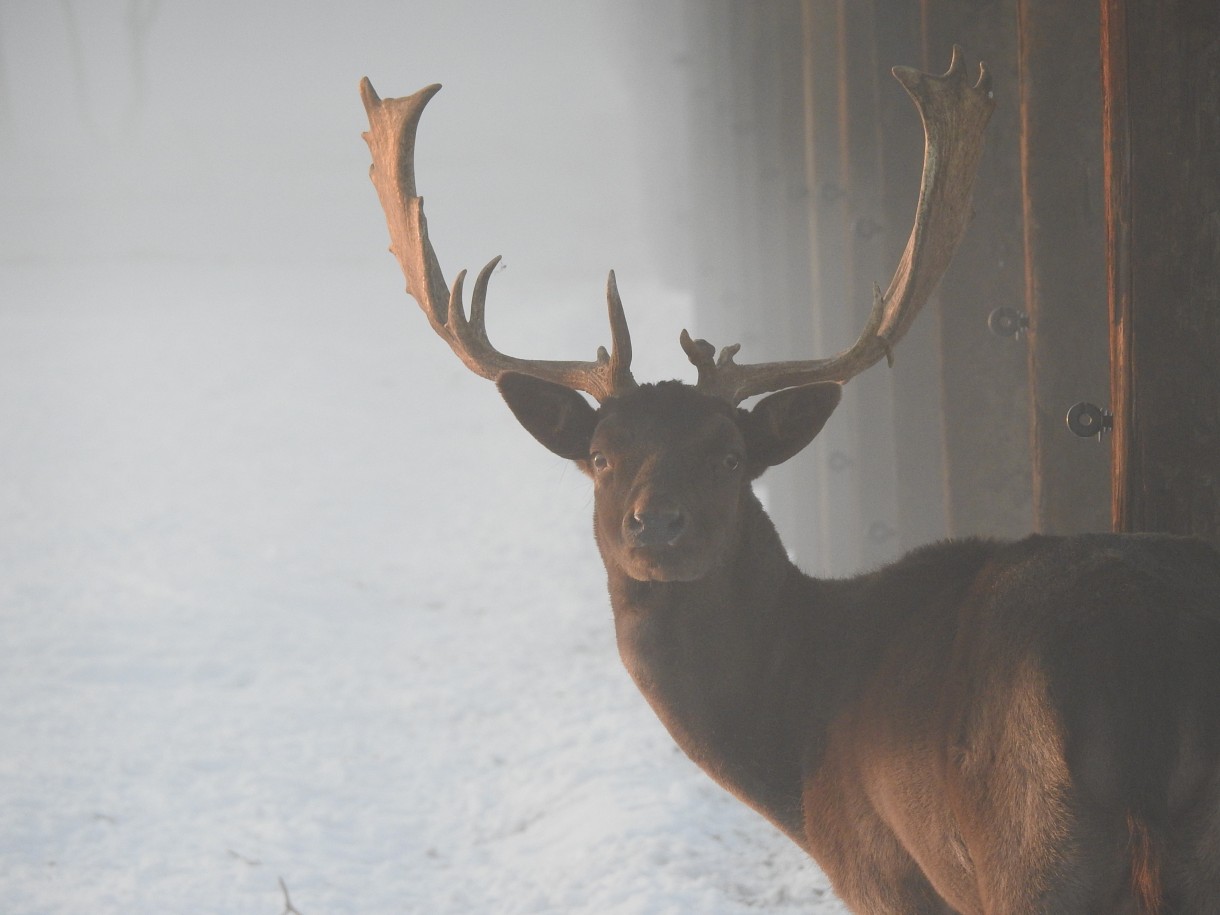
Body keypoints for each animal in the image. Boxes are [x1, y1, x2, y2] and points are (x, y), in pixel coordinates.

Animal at [358, 50, 1220, 915]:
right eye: (601, 455)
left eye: (729, 456)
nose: (656, 523)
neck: (797, 751)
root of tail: (1145, 686)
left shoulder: (882, 869)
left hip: (1031, 846)